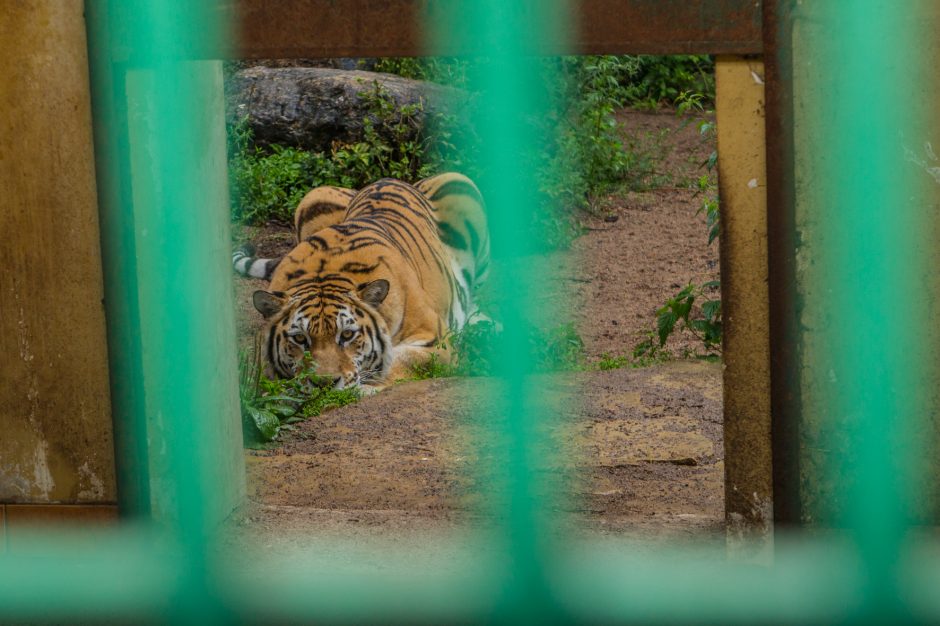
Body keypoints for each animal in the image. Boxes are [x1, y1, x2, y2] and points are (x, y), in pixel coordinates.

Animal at [233, 171, 492, 392]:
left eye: (347, 335)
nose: (324, 385)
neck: (324, 273)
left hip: (461, 183)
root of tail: (393, 180)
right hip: (313, 196)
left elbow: (401, 359)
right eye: (299, 339)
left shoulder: (436, 341)